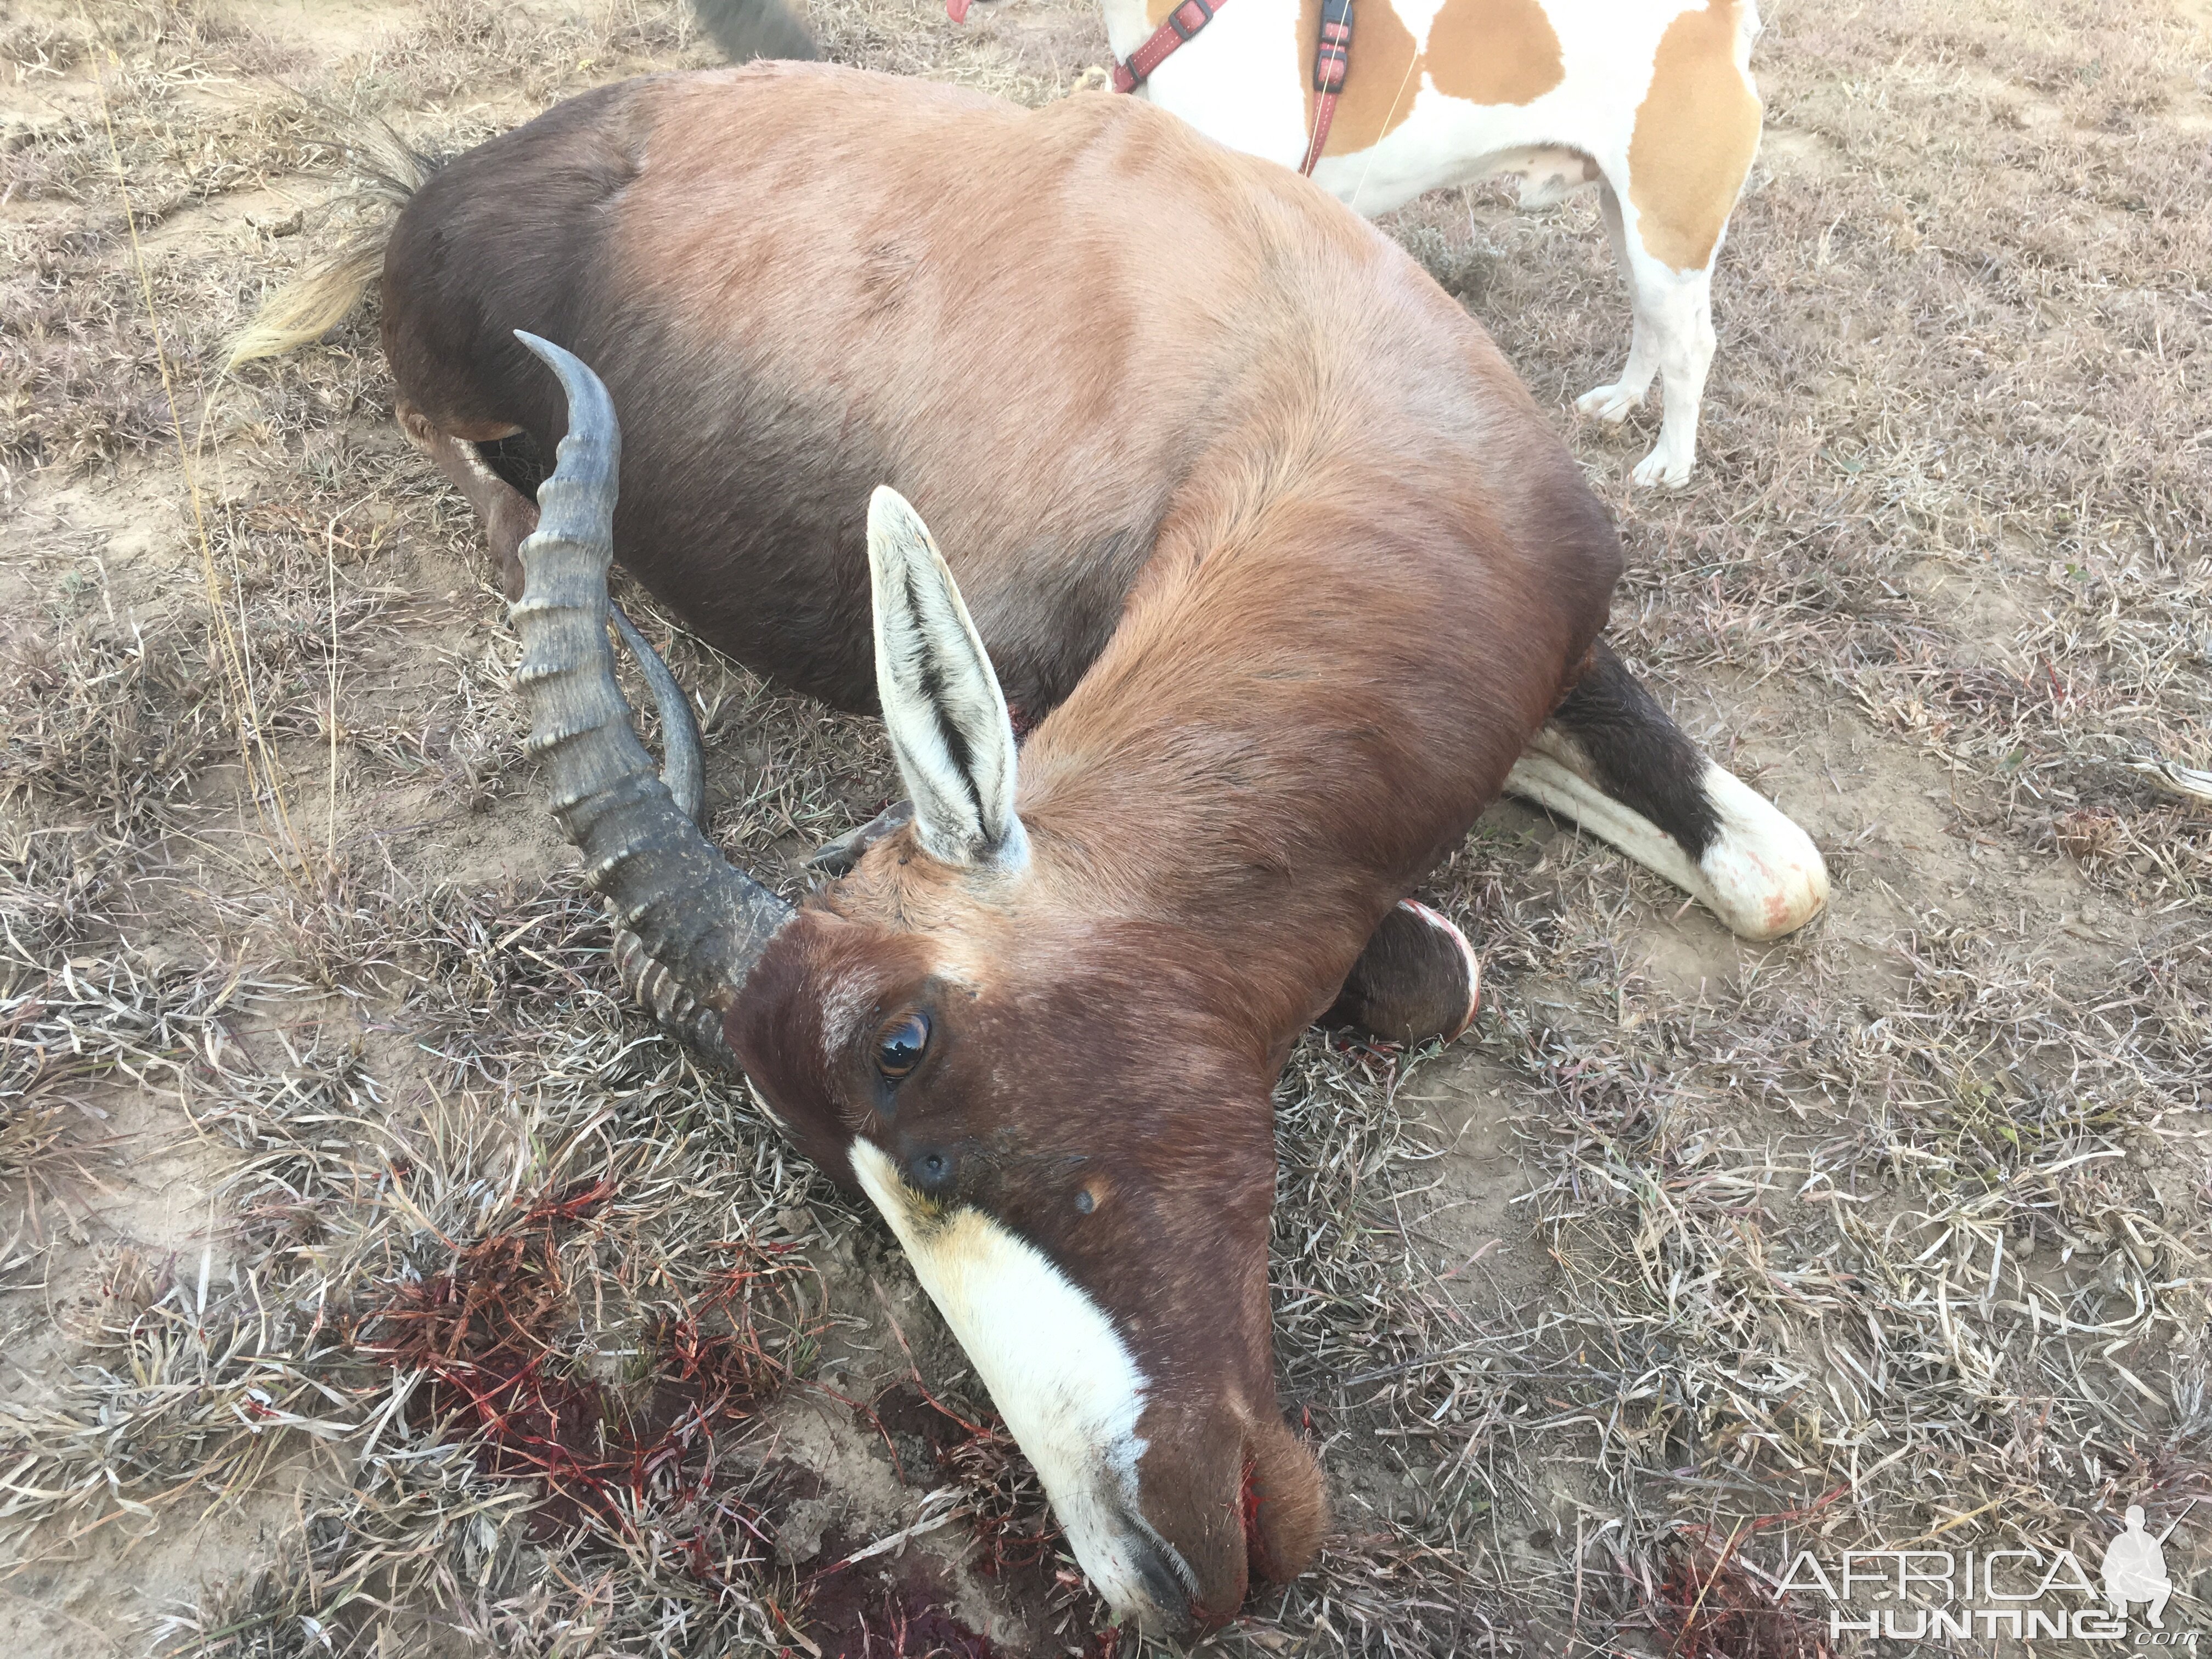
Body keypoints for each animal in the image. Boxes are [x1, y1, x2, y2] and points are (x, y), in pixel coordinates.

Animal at [238, 68, 1831, 1637]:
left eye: (903, 1044)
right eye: (838, 1185)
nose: (1156, 1570)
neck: (1280, 346)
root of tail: (448, 180)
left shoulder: (1563, 647)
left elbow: (1781, 882)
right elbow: (1435, 967)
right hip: (459, 425)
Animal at [946, 0, 1760, 487]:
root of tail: (1712, 19)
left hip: (1666, 234)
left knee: (1692, 347)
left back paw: (1671, 461)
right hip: (1633, 225)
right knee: (1655, 327)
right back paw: (1621, 402)